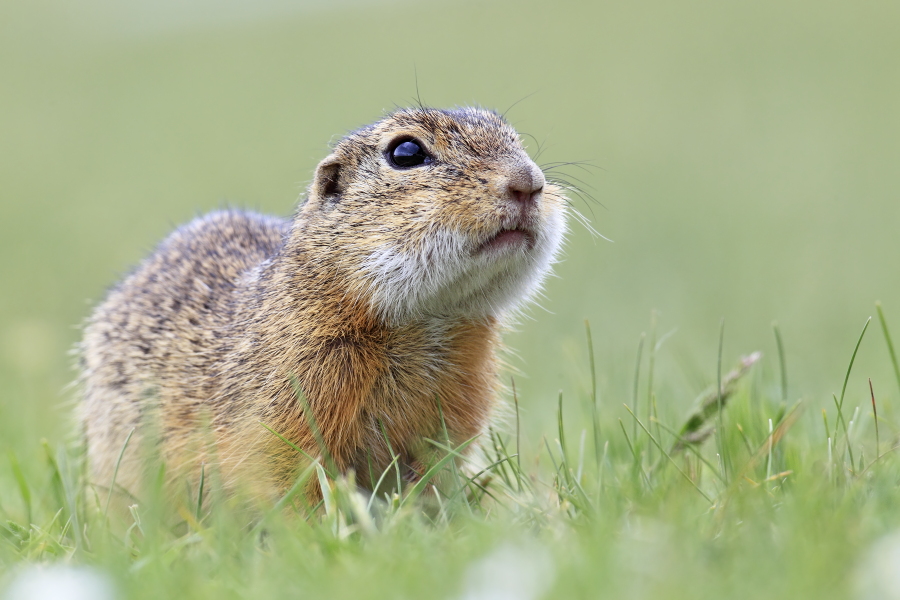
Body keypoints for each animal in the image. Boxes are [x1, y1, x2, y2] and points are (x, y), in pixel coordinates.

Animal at [79, 107, 568, 504]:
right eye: (406, 152)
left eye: (514, 138)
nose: (528, 182)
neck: (425, 321)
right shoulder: (290, 407)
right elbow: (294, 486)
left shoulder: (459, 404)